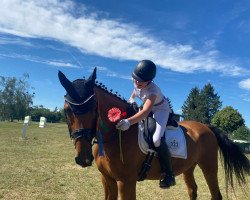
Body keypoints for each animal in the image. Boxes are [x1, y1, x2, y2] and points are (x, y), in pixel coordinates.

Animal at [57, 68, 249, 199]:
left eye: (93, 108)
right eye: (67, 110)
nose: (83, 158)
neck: (115, 135)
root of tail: (207, 127)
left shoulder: (126, 182)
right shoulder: (107, 179)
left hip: (209, 167)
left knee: (215, 194)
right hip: (188, 167)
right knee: (192, 190)